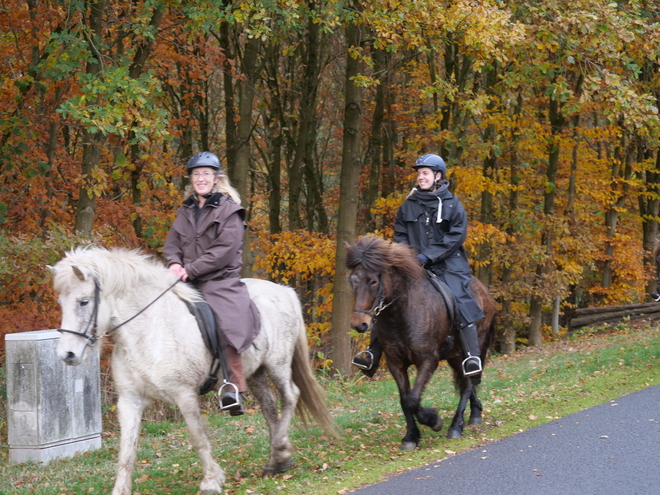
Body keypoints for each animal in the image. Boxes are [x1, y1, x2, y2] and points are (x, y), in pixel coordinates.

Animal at [49, 248, 336, 495]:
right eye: (61, 302)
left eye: (84, 302)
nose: (67, 354)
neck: (148, 330)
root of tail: (283, 291)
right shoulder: (130, 401)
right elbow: (126, 451)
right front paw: (121, 490)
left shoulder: (184, 395)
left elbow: (198, 437)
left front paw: (211, 480)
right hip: (255, 373)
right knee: (269, 407)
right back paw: (278, 459)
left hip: (278, 364)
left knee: (290, 396)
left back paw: (280, 450)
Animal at [346, 235, 496, 450]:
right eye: (352, 281)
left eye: (373, 281)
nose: (360, 324)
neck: (401, 314)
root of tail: (485, 292)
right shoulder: (396, 364)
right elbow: (405, 400)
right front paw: (411, 436)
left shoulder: (427, 360)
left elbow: (412, 399)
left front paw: (434, 421)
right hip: (455, 355)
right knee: (465, 383)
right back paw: (475, 414)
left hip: (473, 348)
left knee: (467, 384)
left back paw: (455, 426)